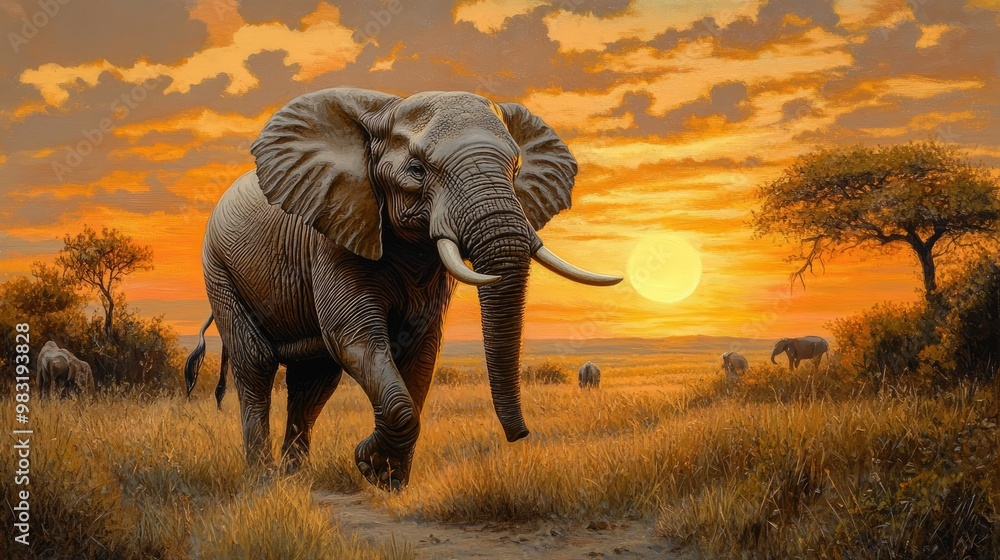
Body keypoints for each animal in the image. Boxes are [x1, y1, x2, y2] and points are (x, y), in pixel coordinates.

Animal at [184, 87, 622, 491]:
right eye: (417, 170)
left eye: (515, 169)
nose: (521, 435)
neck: (385, 110)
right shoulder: (334, 230)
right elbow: (357, 337)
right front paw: (368, 464)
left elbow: (421, 347)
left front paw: (389, 480)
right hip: (219, 271)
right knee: (255, 367)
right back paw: (264, 480)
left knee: (313, 383)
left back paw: (297, 477)